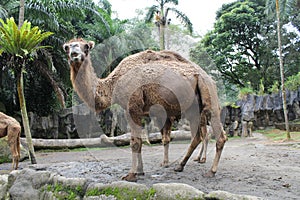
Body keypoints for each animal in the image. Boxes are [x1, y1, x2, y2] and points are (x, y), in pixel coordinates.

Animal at [63, 37, 227, 181]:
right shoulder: (141, 111)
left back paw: (211, 171)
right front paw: (140, 171)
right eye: (67, 47)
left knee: (218, 134)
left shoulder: (132, 107)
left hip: (209, 95)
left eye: (86, 47)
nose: (75, 53)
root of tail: (206, 76)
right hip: (193, 108)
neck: (113, 84)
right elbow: (141, 141)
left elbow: (135, 142)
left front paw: (131, 175)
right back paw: (180, 166)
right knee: (198, 136)